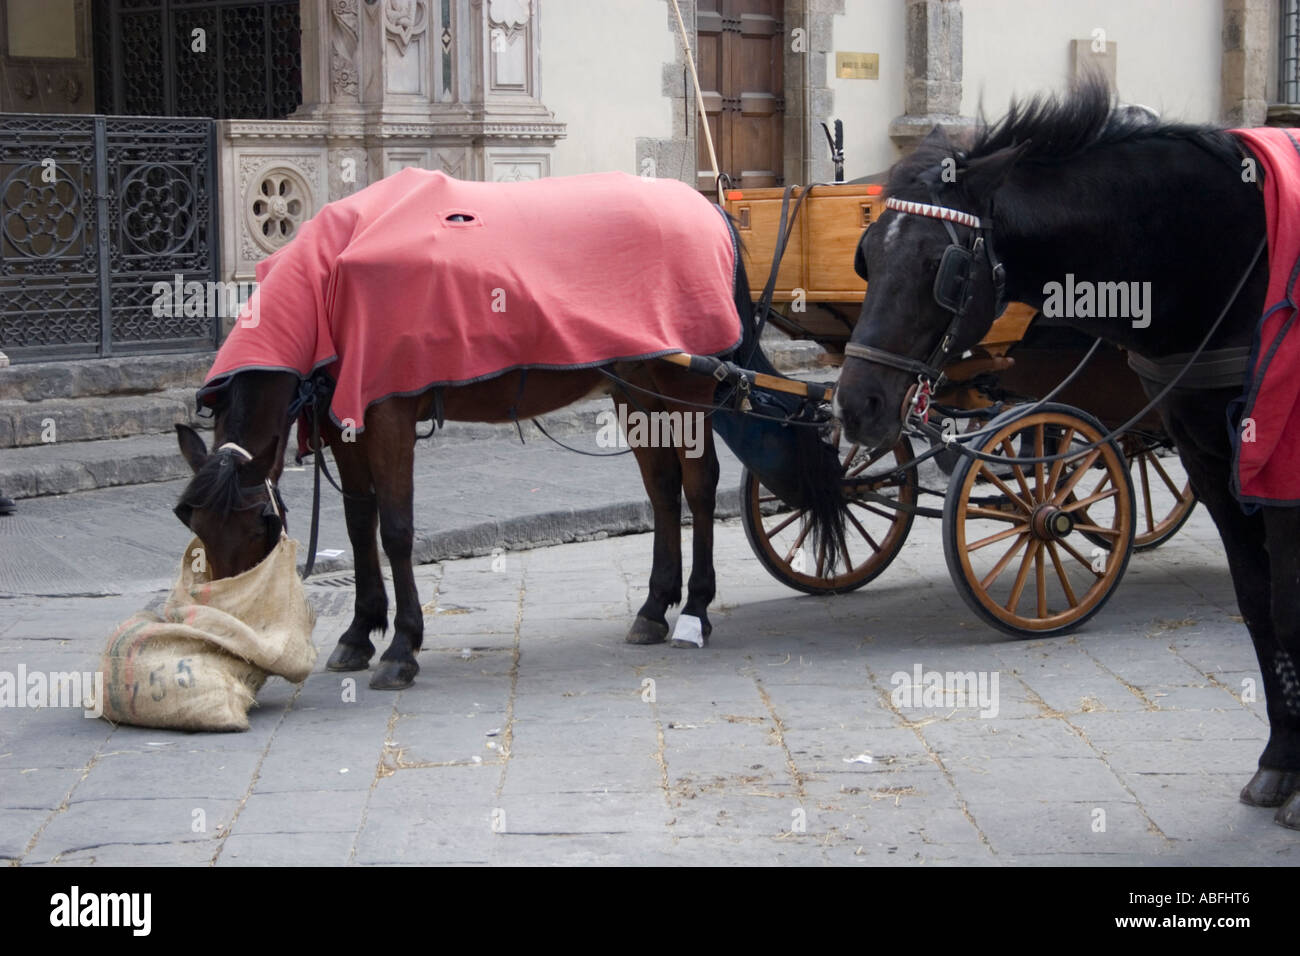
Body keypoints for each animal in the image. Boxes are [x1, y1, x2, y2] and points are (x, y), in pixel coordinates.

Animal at [173, 210, 844, 691]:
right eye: (196, 529)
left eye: (257, 527)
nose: (226, 639)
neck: (328, 285)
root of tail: (709, 210)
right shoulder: (345, 425)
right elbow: (361, 525)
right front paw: (361, 631)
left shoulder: (388, 414)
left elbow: (396, 530)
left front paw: (402, 646)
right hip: (639, 387)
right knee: (662, 490)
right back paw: (655, 608)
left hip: (687, 389)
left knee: (700, 488)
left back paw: (696, 610)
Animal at [833, 78, 1300, 830]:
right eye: (867, 256)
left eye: (943, 267)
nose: (856, 403)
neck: (1223, 251)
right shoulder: (1210, 461)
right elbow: (1258, 603)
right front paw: (1280, 761)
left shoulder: (1278, 467)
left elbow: (1287, 605)